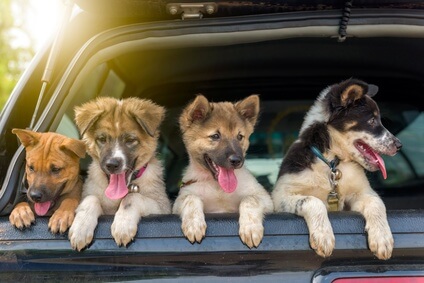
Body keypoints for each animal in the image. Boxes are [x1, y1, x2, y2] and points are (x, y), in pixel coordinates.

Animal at [68, 96, 171, 252]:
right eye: (102, 139)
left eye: (130, 140)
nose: (112, 164)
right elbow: (91, 198)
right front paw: (81, 228)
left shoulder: (162, 207)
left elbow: (132, 197)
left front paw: (123, 225)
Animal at [173, 93, 274, 248]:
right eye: (215, 136)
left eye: (240, 136)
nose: (237, 160)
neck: (218, 188)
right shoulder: (179, 200)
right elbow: (191, 198)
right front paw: (194, 224)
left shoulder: (265, 198)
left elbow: (250, 199)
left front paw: (250, 227)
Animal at [270, 79, 402, 260]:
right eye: (372, 121)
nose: (399, 145)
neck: (333, 162)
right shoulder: (280, 196)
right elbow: (312, 200)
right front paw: (323, 236)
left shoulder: (360, 193)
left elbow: (376, 202)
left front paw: (382, 238)